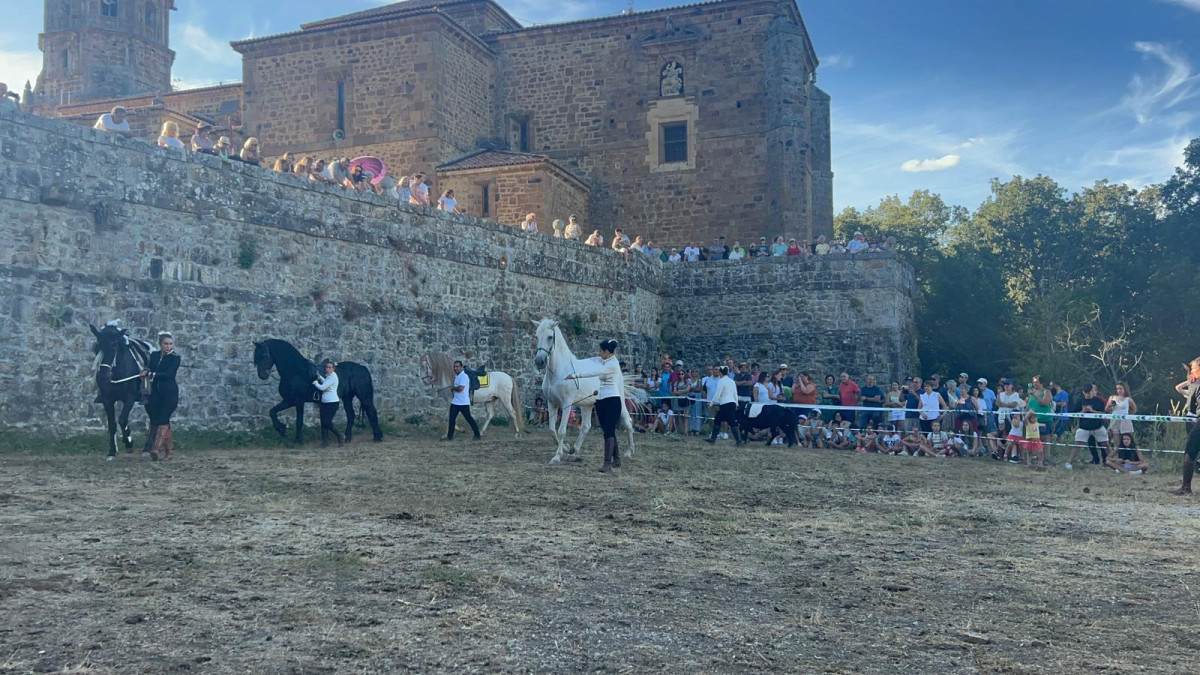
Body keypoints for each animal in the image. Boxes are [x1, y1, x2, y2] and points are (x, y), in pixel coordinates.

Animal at [90, 319, 152, 456]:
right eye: (97, 346)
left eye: (114, 345)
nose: (103, 376)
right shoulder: (107, 399)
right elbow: (112, 424)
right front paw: (112, 451)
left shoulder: (130, 397)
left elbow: (122, 420)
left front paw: (129, 442)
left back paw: (147, 448)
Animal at [250, 336, 381, 441]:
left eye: (264, 355)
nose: (262, 375)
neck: (296, 372)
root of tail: (362, 368)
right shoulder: (289, 400)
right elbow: (272, 411)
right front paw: (282, 429)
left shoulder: (298, 401)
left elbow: (299, 421)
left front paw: (298, 440)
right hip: (347, 398)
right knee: (351, 415)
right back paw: (347, 438)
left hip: (364, 397)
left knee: (371, 412)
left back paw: (377, 437)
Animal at [532, 317, 643, 466]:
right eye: (537, 336)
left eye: (550, 337)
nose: (539, 361)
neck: (558, 372)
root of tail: (615, 364)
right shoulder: (551, 403)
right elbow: (551, 430)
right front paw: (567, 448)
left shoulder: (566, 404)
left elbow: (561, 431)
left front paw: (556, 457)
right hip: (588, 405)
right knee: (586, 427)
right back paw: (573, 452)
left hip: (619, 401)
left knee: (628, 422)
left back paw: (629, 452)